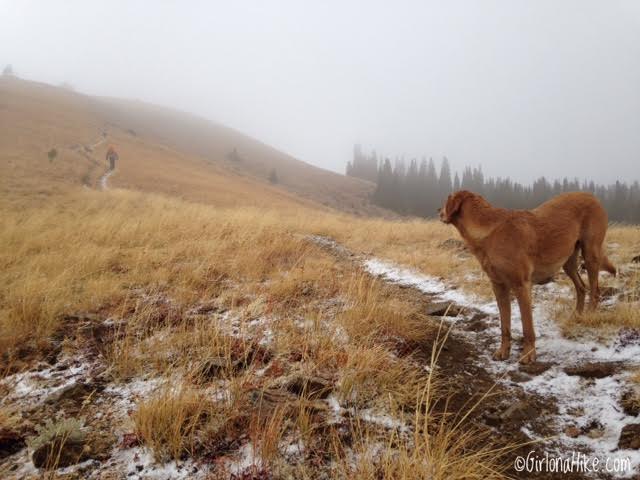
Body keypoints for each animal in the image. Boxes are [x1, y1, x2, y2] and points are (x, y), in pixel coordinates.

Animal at [440, 191, 616, 364]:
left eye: (447, 199)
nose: (438, 211)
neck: (489, 232)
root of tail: (591, 196)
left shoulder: (521, 286)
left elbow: (527, 327)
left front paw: (528, 354)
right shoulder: (498, 287)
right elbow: (505, 326)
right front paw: (503, 351)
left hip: (591, 254)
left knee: (595, 291)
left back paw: (589, 316)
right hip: (569, 263)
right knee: (581, 287)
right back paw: (577, 316)